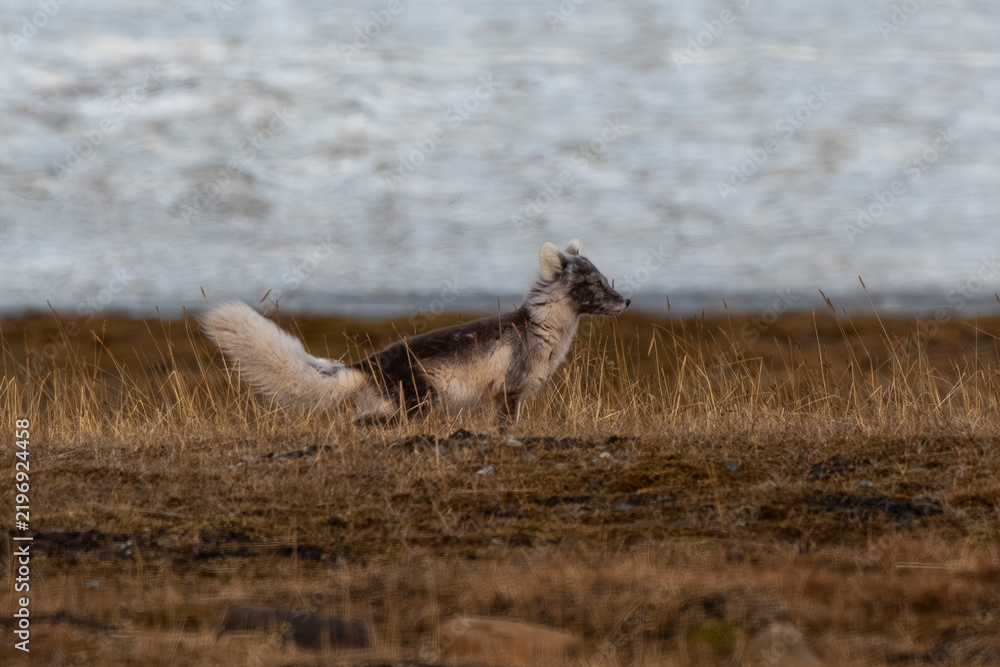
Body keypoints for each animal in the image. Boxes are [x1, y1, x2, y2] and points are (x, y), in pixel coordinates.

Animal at [201, 240, 630, 424]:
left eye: (604, 277)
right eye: (594, 283)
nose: (626, 300)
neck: (541, 332)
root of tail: (365, 365)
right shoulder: (509, 391)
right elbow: (508, 427)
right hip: (421, 403)